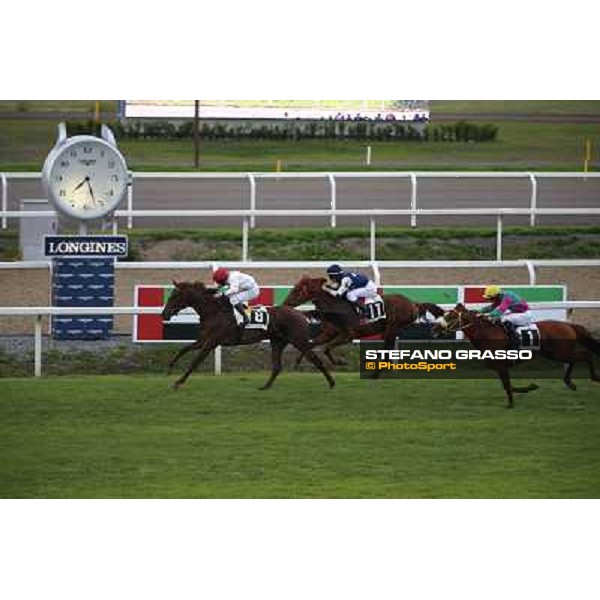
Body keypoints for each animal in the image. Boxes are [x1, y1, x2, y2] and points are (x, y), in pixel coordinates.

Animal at [162, 280, 336, 390]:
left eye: (174, 296)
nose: (164, 314)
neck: (214, 312)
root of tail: (299, 313)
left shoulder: (211, 342)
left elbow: (195, 363)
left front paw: (178, 382)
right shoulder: (204, 340)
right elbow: (184, 349)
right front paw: (169, 368)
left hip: (299, 340)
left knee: (316, 360)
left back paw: (332, 383)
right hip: (277, 342)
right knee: (277, 367)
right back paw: (265, 386)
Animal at [282, 276, 446, 366]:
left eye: (296, 290)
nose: (285, 304)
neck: (335, 307)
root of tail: (412, 303)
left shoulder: (348, 335)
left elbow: (326, 348)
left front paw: (340, 362)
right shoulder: (328, 333)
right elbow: (312, 344)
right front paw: (298, 361)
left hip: (392, 327)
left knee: (388, 347)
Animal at [434, 304, 600, 408]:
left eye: (450, 317)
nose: (435, 328)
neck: (488, 334)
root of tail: (568, 325)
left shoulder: (502, 366)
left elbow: (508, 386)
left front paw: (511, 404)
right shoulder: (498, 367)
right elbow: (508, 386)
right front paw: (529, 388)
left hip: (560, 352)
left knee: (585, 355)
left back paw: (592, 377)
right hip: (555, 353)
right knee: (575, 360)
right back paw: (570, 382)